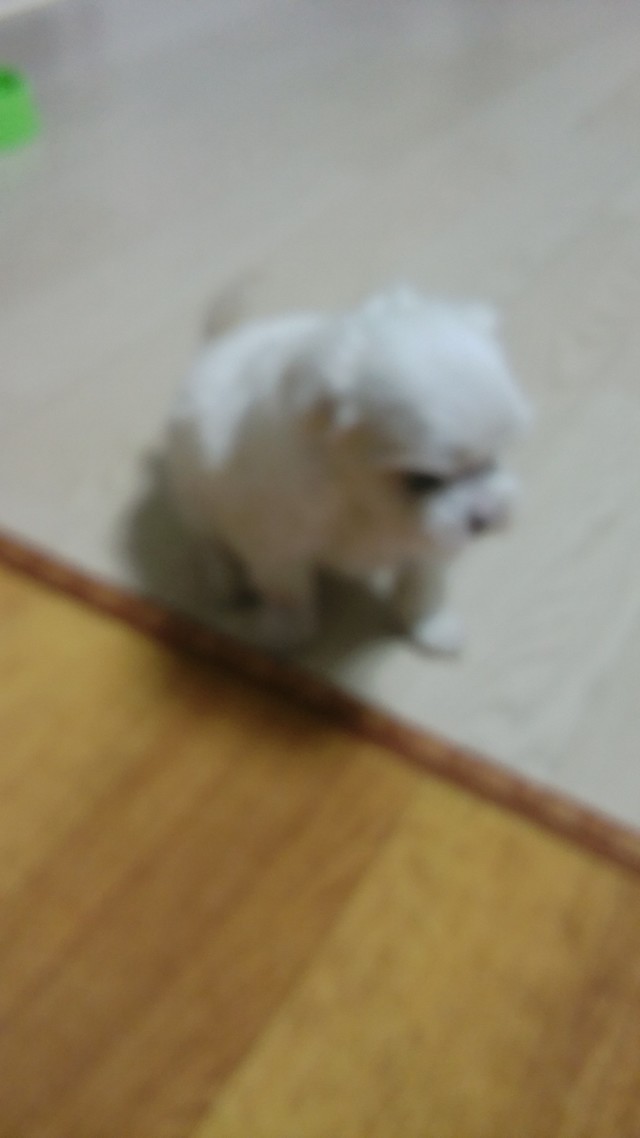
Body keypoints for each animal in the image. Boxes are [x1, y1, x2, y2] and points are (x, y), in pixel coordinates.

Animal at [166, 286, 531, 653]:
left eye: (492, 460)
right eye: (422, 480)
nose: (485, 519)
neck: (357, 495)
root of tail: (217, 346)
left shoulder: (430, 540)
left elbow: (423, 584)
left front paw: (430, 627)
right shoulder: (277, 545)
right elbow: (290, 600)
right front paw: (275, 634)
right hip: (193, 495)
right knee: (206, 541)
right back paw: (224, 580)